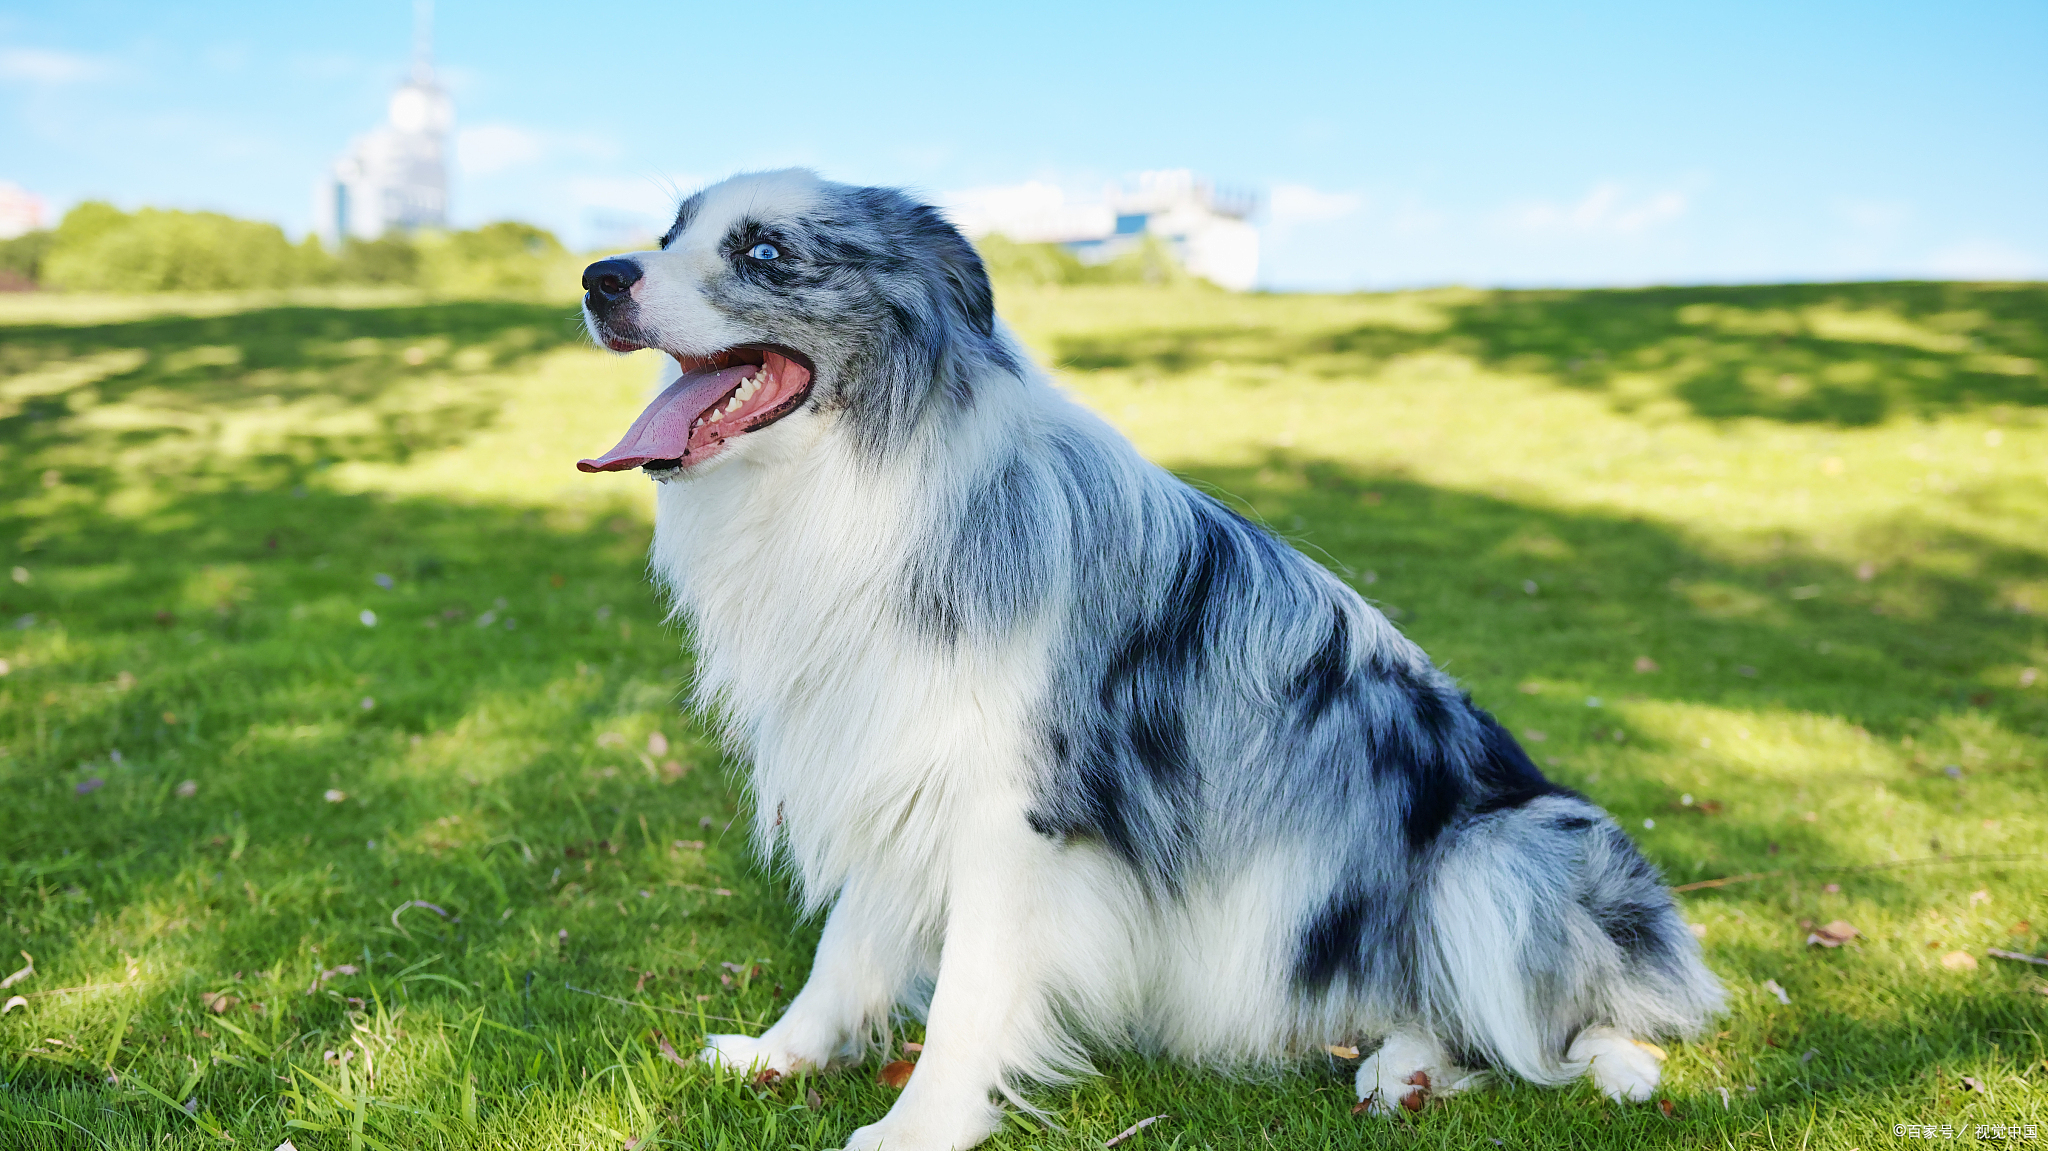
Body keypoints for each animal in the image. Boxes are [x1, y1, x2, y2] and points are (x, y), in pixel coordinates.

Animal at [577, 169, 1728, 1146]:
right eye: (669, 233)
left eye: (765, 250)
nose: (598, 277)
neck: (872, 485)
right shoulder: (898, 760)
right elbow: (848, 942)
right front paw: (782, 1053)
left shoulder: (1012, 812)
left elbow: (967, 996)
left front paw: (916, 1129)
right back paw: (1398, 1062)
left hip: (1501, 853)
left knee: (1553, 1023)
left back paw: (1514, 1057)